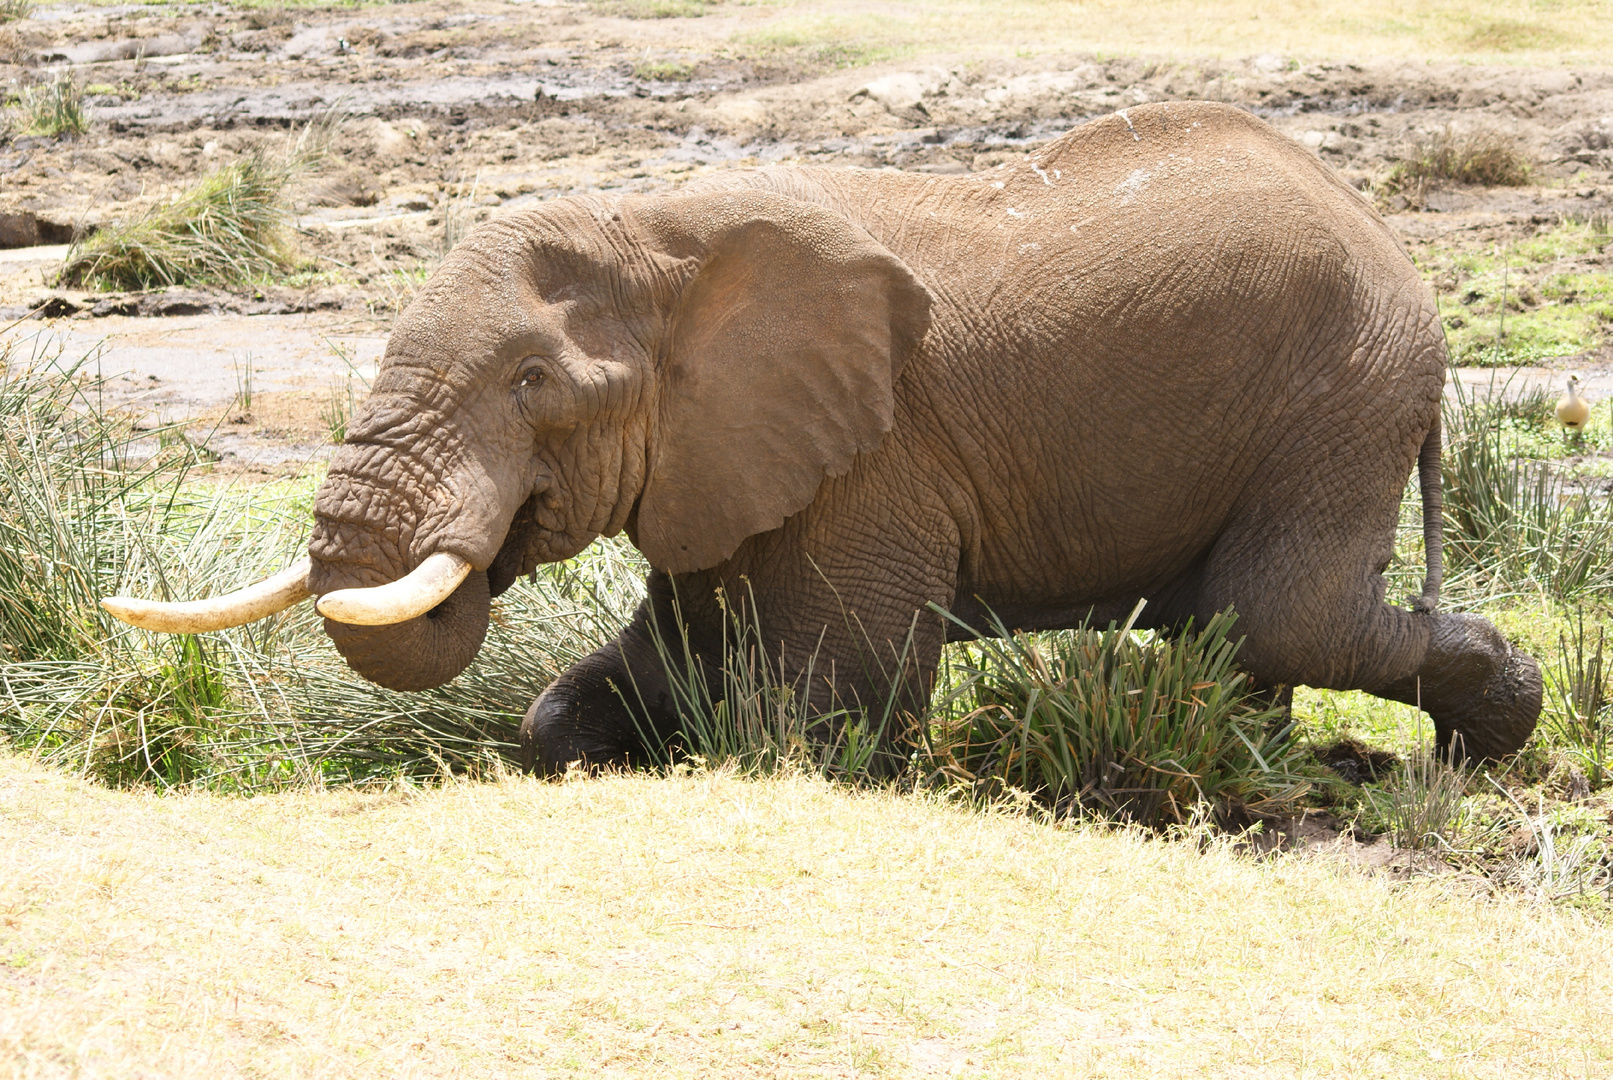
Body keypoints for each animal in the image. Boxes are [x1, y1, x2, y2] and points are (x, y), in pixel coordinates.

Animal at [100, 101, 1535, 770]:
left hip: (1347, 390)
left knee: (1273, 613)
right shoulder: (719, 453)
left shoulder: (877, 453)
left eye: (531, 383)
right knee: (1233, 629)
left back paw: (1482, 741)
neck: (658, 231)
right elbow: (649, 669)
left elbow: (823, 703)